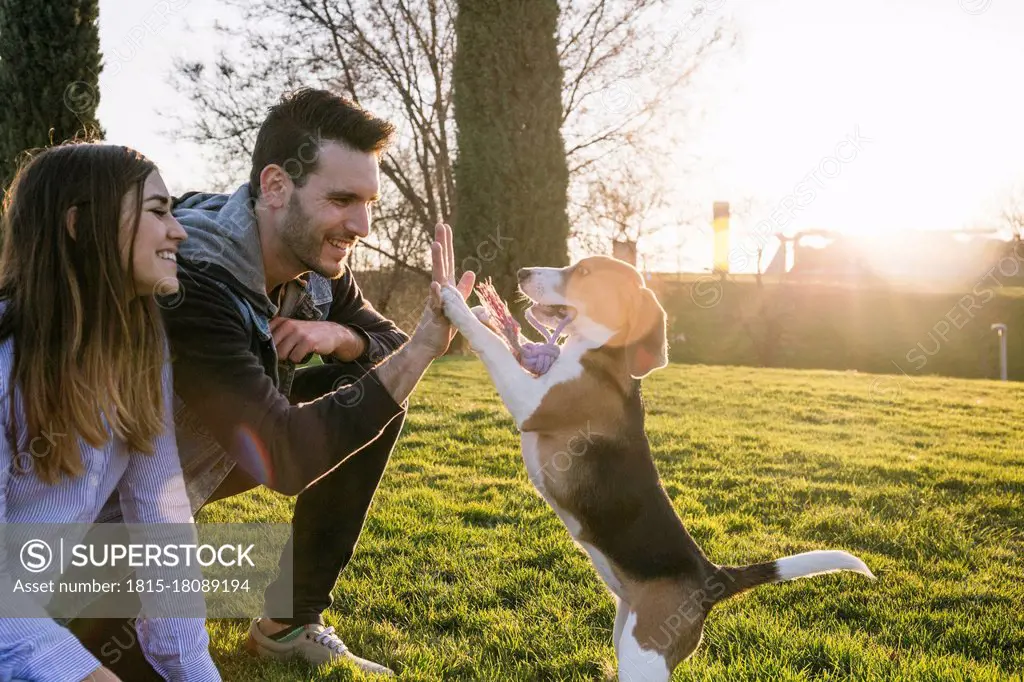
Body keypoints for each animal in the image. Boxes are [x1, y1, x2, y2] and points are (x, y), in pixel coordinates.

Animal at [438, 256, 872, 679]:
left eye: (583, 270)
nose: (524, 272)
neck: (600, 352)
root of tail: (712, 577)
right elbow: (515, 343)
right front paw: (483, 311)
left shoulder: (532, 401)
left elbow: (495, 347)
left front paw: (457, 303)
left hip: (643, 656)